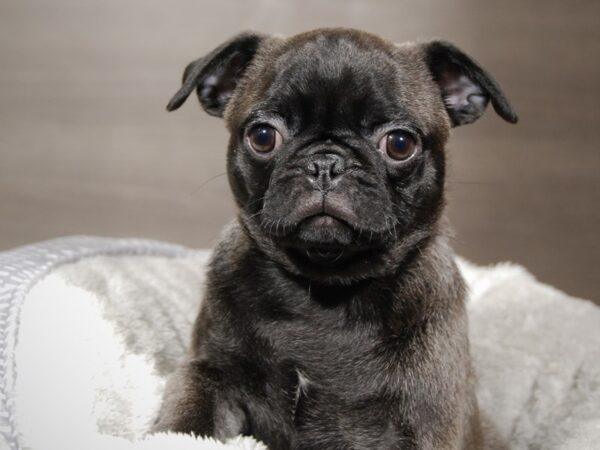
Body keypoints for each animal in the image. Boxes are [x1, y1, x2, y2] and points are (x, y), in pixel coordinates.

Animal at [152, 29, 516, 450]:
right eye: (263, 136)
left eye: (400, 144)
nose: (325, 163)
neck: (325, 290)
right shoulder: (208, 374)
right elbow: (187, 423)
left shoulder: (424, 419)